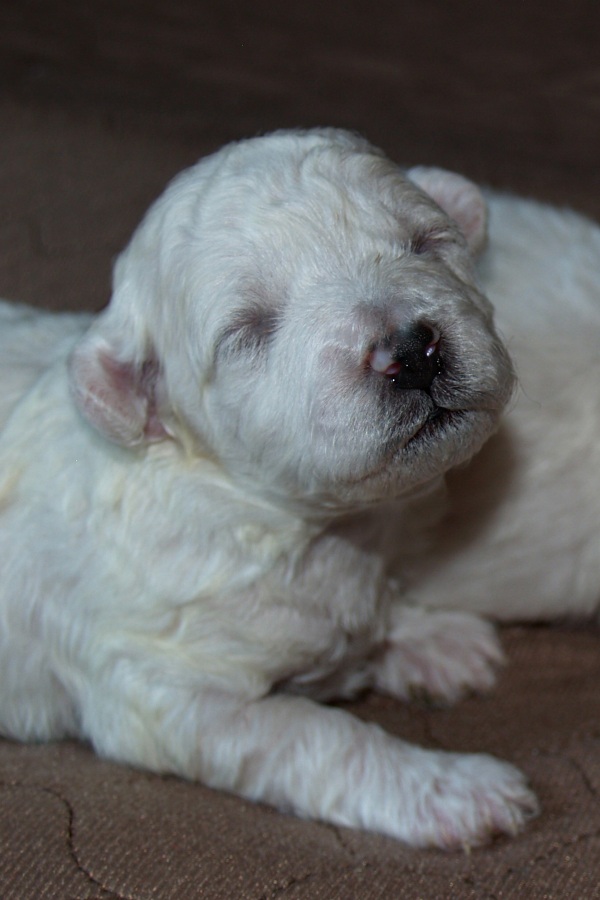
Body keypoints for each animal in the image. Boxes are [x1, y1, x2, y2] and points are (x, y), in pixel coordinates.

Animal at [5, 128, 596, 852]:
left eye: (425, 244)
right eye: (250, 329)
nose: (412, 351)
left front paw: (432, 639)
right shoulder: (162, 690)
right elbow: (322, 735)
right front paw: (457, 791)